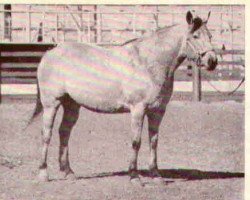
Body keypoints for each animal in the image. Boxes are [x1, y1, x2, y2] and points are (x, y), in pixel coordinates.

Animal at [31, 10, 218, 186]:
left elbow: (154, 141)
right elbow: (136, 141)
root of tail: (50, 52)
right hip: (51, 104)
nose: (212, 61)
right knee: (46, 134)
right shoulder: (138, 109)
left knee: (64, 132)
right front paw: (134, 176)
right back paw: (43, 173)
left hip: (72, 105)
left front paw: (156, 175)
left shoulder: (158, 111)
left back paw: (68, 172)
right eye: (195, 36)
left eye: (210, 36)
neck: (148, 63)